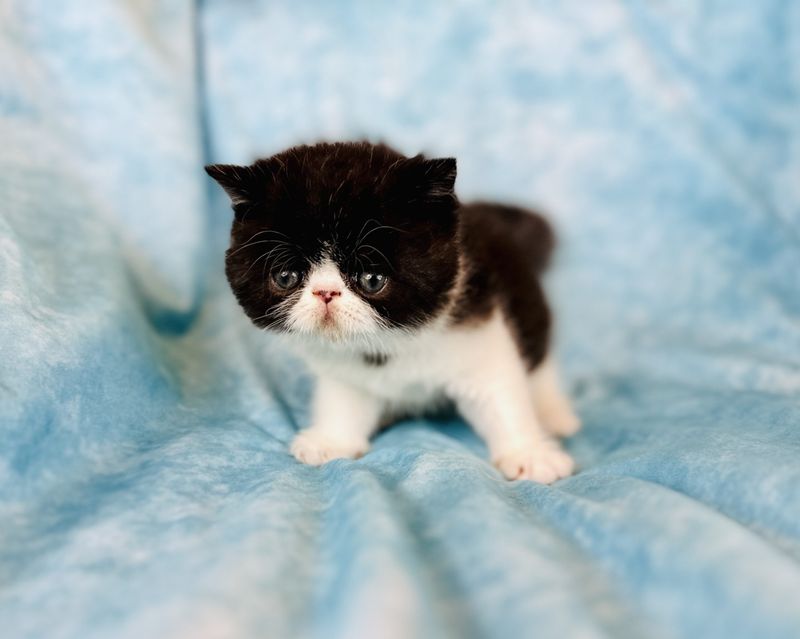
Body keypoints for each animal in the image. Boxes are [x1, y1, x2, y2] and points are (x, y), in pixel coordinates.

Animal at [206, 142, 580, 482]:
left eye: (372, 279)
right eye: (286, 277)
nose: (325, 292)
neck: (392, 341)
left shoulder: (477, 326)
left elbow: (498, 392)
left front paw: (529, 453)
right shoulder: (347, 369)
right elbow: (344, 398)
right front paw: (332, 439)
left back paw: (554, 412)